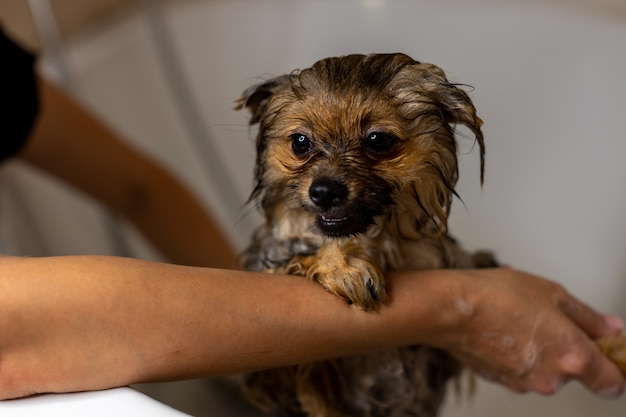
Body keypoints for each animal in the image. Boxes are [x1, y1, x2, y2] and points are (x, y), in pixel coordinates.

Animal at [234, 53, 624, 414]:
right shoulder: (274, 378)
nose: (325, 191)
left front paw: (616, 347)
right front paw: (340, 266)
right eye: (300, 142)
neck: (381, 244)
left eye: (378, 140)